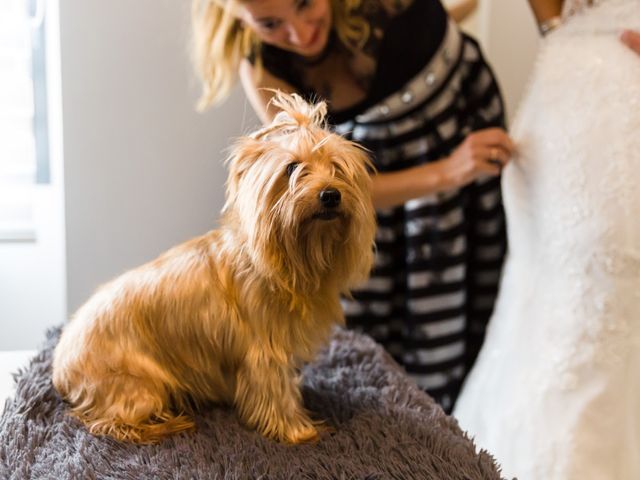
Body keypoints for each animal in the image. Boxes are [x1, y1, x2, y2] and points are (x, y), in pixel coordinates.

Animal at [52, 92, 378, 444]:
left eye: (337, 169)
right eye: (292, 168)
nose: (330, 194)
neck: (288, 260)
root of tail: (60, 368)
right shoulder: (264, 352)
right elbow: (277, 394)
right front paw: (300, 432)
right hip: (137, 387)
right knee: (110, 422)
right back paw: (169, 424)